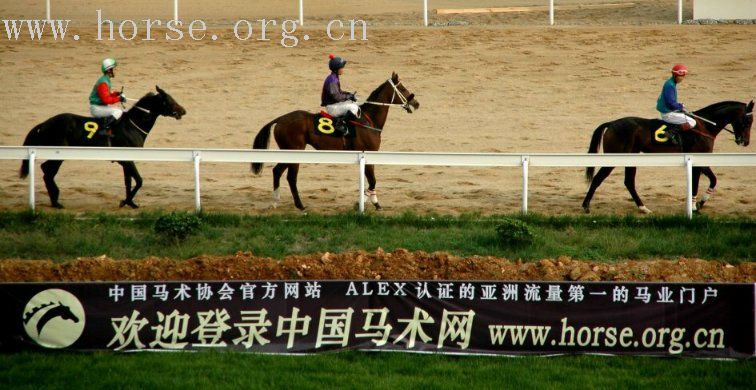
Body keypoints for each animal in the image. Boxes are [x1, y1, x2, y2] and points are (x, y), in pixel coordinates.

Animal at [19, 86, 186, 209]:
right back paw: (56, 201)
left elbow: (128, 182)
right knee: (47, 171)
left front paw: (130, 202)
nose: (183, 110)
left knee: (47, 171)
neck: (132, 126)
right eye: (168, 99)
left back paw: (55, 199)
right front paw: (125, 201)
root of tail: (44, 124)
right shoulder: (128, 160)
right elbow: (139, 181)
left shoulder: (126, 160)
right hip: (58, 154)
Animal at [252, 72, 420, 210]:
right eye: (402, 88)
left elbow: (371, 180)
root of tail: (280, 119)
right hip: (294, 151)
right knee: (290, 177)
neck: (368, 120)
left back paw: (276, 201)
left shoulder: (368, 155)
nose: (416, 103)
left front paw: (372, 202)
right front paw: (364, 203)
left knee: (277, 171)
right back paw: (300, 205)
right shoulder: (367, 153)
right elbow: (372, 180)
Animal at [580, 100, 752, 213]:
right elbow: (698, 183)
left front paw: (701, 203)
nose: (745, 141)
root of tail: (611, 123)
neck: (705, 126)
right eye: (748, 120)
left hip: (632, 156)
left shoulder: (701, 159)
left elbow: (713, 179)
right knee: (598, 178)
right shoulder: (697, 159)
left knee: (629, 182)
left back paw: (643, 208)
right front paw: (695, 206)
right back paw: (586, 206)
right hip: (615, 157)